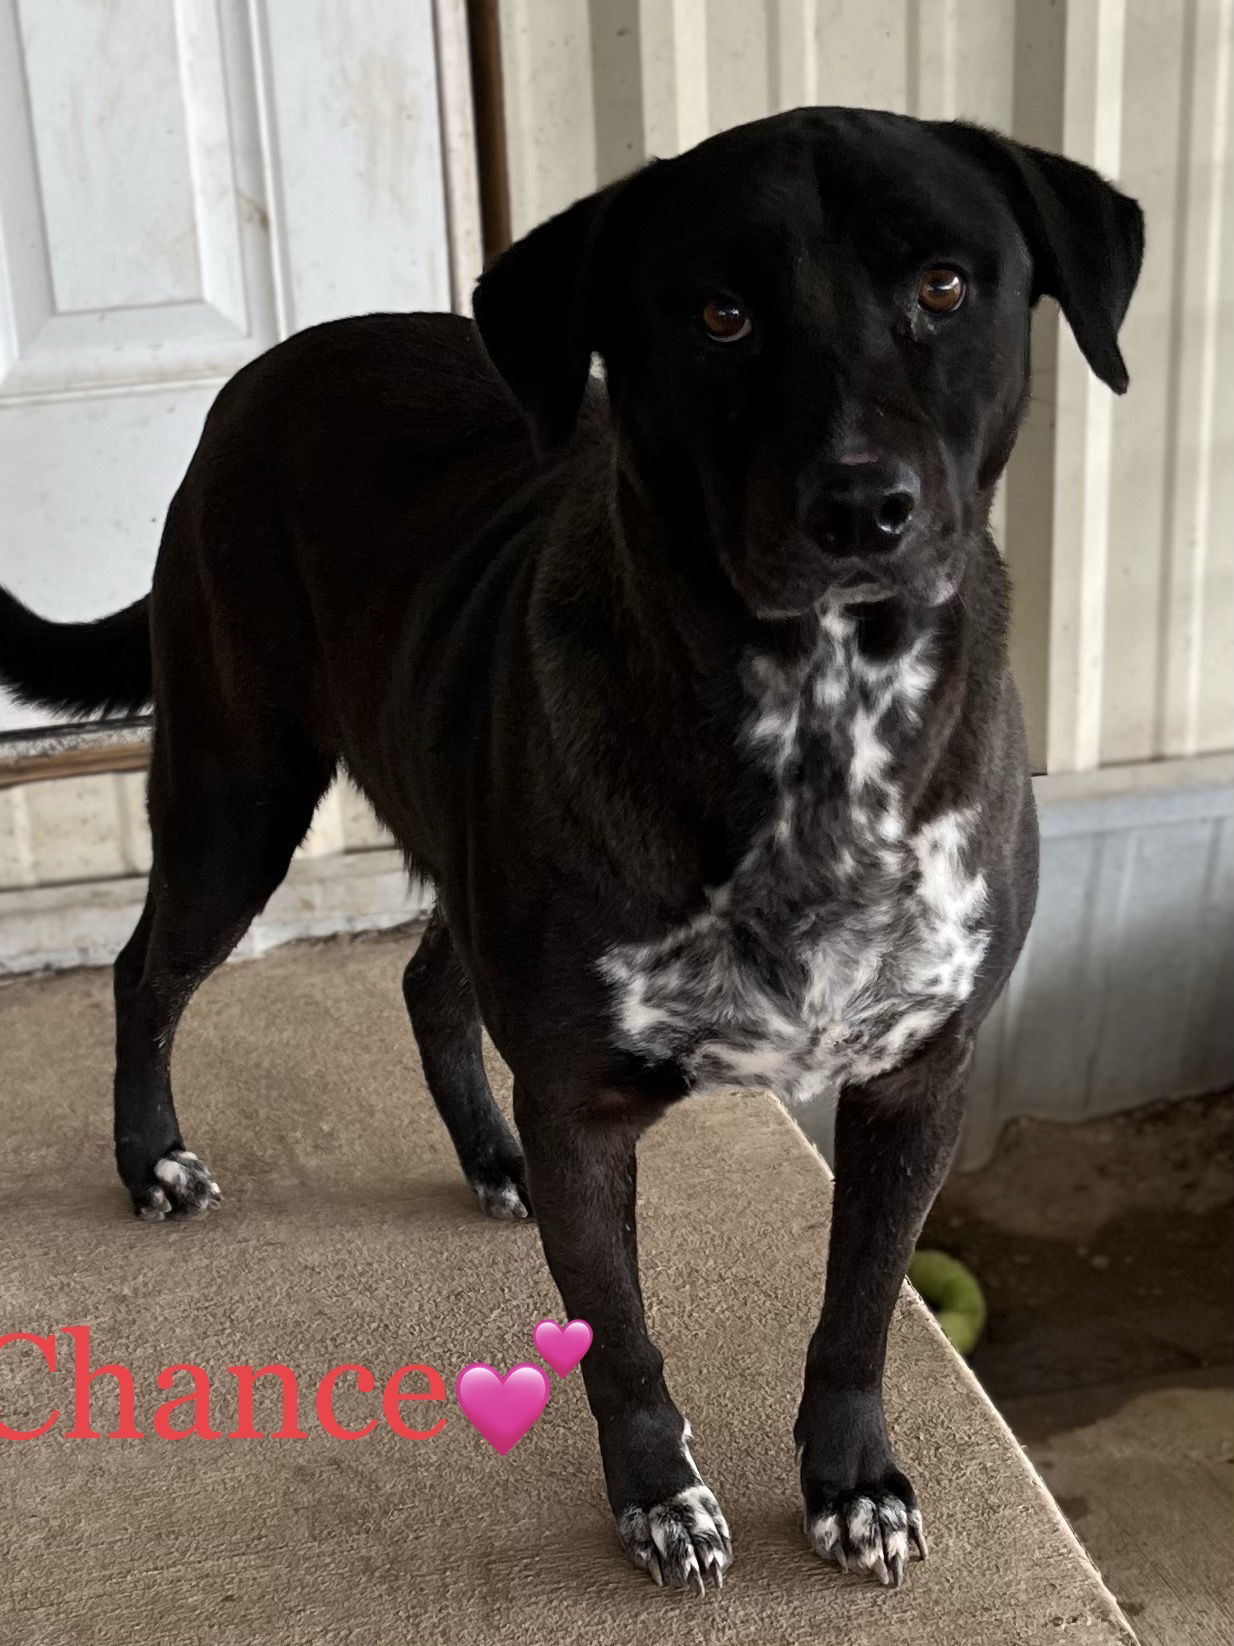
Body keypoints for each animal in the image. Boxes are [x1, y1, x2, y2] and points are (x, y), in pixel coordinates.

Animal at [0, 106, 1145, 1593]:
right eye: (718, 313)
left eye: (944, 286)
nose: (860, 508)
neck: (819, 718)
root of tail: (267, 369)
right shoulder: (582, 1103)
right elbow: (620, 1343)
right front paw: (661, 1499)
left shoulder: (917, 1082)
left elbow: (857, 1310)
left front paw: (853, 1484)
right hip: (235, 792)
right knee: (149, 970)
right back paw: (154, 1160)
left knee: (427, 980)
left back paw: (489, 1157)